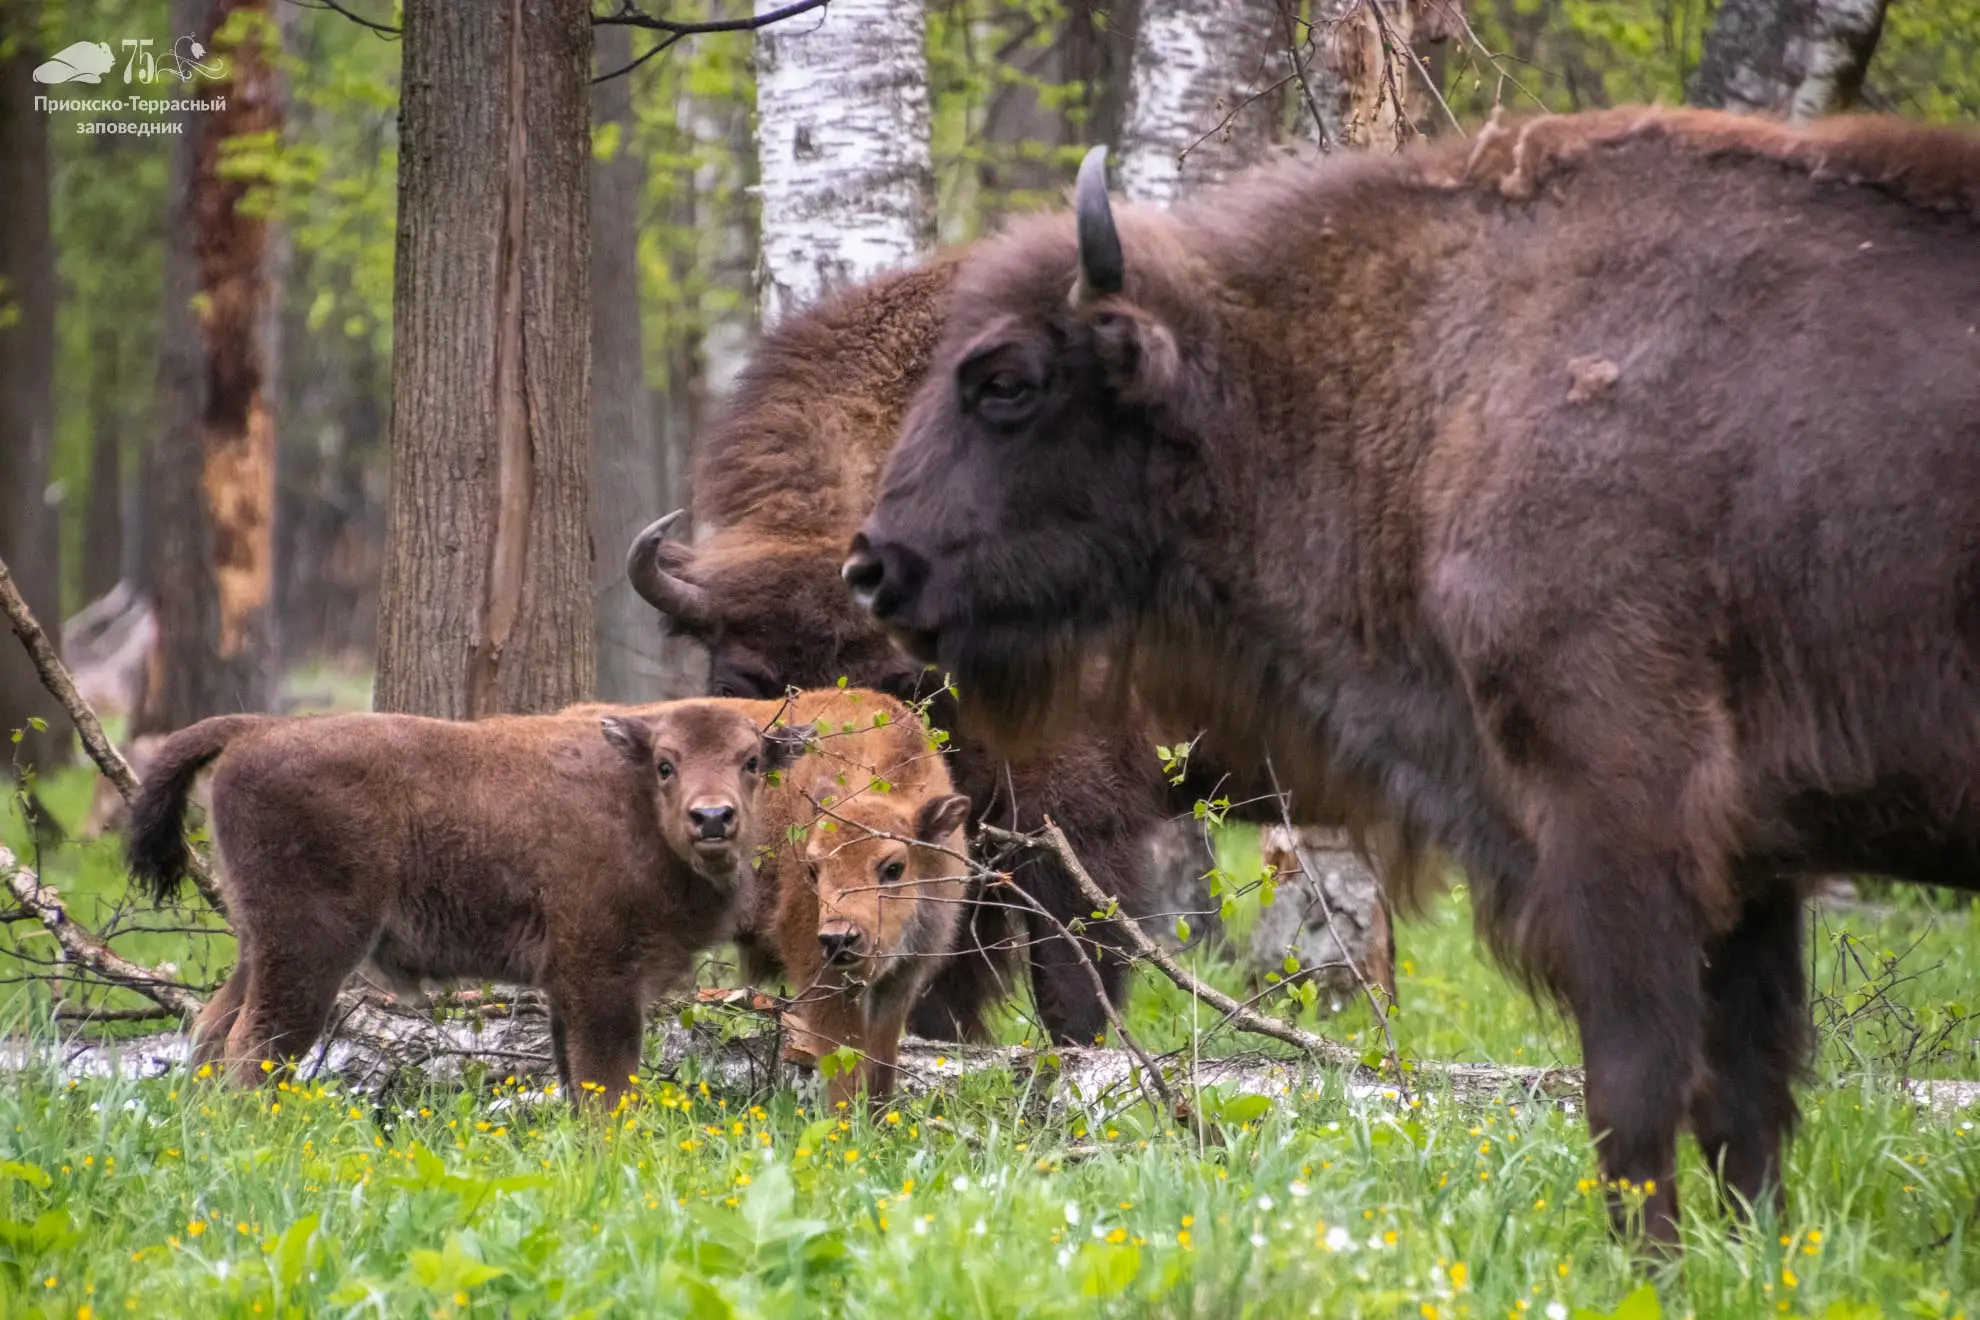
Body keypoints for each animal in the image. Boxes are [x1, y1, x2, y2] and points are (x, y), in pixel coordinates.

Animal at [127, 696, 803, 1108]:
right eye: (666, 764)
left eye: (750, 761)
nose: (712, 818)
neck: (630, 799)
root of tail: (257, 728)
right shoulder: (600, 978)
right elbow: (605, 1087)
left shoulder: (566, 989)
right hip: (308, 950)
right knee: (255, 1046)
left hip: (258, 944)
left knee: (212, 1028)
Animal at [728, 692, 974, 1116]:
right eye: (813, 869)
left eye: (894, 867)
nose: (838, 939)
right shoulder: (822, 976)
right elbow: (845, 1061)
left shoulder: (902, 979)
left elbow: (881, 1060)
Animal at [847, 108, 1980, 1242]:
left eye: (1006, 383)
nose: (874, 565)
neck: (1453, 375)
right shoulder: (1751, 866)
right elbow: (1747, 1096)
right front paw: (1752, 1254)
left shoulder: (1619, 814)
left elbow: (1636, 1082)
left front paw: (1650, 1262)